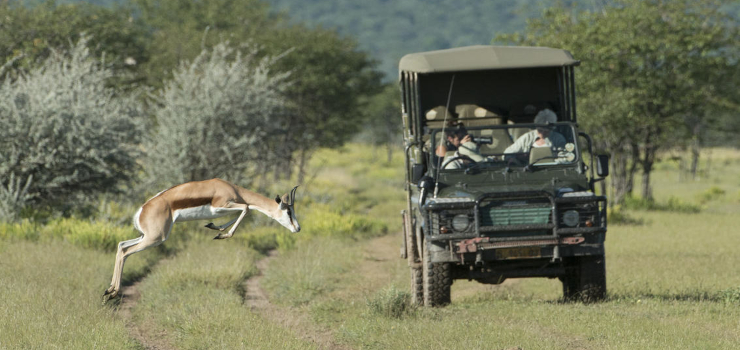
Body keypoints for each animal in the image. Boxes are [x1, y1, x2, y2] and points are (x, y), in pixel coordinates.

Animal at [103, 179, 300, 302]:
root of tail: (142, 210)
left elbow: (244, 210)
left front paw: (215, 228)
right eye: (288, 211)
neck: (231, 188)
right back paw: (112, 293)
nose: (297, 228)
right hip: (155, 238)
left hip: (147, 236)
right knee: (126, 251)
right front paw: (222, 234)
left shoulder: (224, 209)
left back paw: (109, 291)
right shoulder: (222, 205)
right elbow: (246, 208)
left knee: (121, 247)